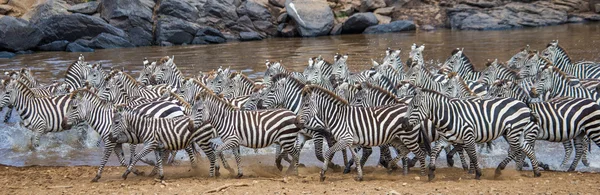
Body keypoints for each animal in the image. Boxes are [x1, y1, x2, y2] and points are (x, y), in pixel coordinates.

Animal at [298, 85, 428, 181]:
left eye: (306, 105)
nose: (297, 122)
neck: (338, 117)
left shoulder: (345, 139)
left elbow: (328, 152)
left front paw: (323, 174)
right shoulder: (350, 142)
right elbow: (356, 158)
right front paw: (359, 176)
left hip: (408, 137)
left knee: (420, 154)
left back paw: (422, 176)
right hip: (396, 138)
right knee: (405, 150)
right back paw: (394, 166)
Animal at [406, 88, 540, 180]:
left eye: (416, 107)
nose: (404, 124)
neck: (450, 116)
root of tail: (525, 105)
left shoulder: (468, 136)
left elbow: (473, 155)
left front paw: (478, 173)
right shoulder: (446, 138)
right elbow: (434, 151)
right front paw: (431, 172)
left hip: (513, 131)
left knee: (516, 149)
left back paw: (499, 169)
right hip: (516, 132)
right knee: (527, 148)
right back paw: (537, 172)